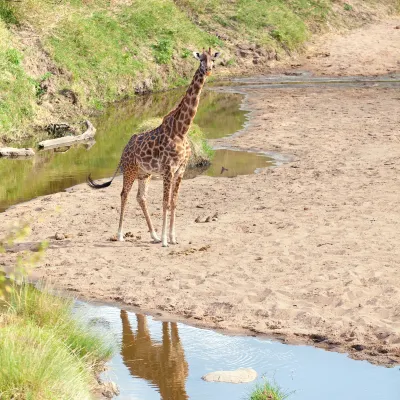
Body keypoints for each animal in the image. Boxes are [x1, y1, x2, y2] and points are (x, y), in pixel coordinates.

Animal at [87, 48, 220, 245]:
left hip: (145, 173)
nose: (208, 69)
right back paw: (120, 235)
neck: (181, 130)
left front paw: (172, 238)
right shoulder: (168, 169)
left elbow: (174, 202)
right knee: (124, 194)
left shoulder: (180, 170)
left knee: (141, 197)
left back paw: (154, 235)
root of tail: (124, 149)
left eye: (213, 59)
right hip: (130, 170)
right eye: (201, 59)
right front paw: (166, 240)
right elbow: (165, 202)